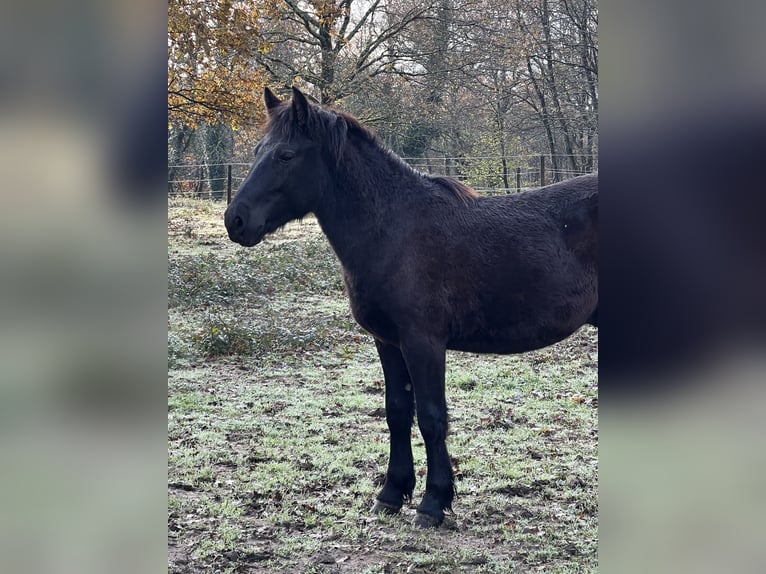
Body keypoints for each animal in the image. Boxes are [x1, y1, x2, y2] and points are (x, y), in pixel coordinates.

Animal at [225, 86, 596, 532]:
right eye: (258, 150)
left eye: (285, 155)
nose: (235, 220)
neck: (394, 229)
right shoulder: (388, 341)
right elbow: (398, 412)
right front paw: (390, 494)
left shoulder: (424, 342)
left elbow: (432, 417)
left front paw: (433, 503)